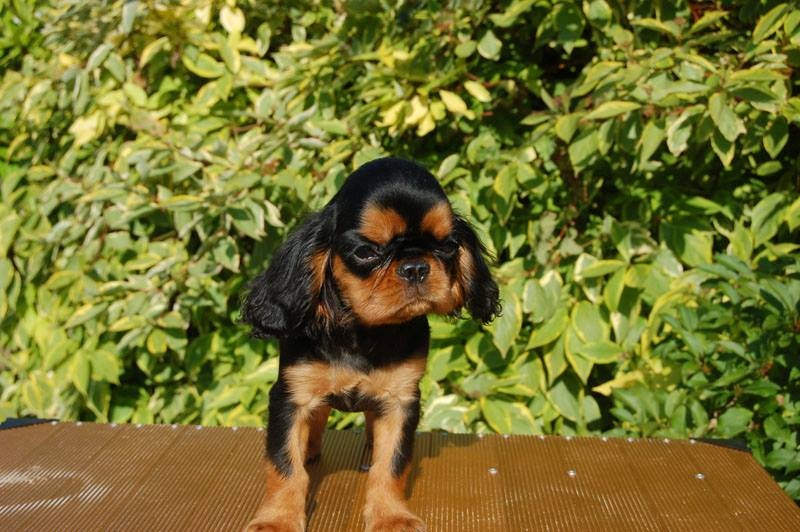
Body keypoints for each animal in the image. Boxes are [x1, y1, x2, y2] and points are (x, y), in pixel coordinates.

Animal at [241, 157, 500, 531]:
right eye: (365, 252)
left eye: (449, 245)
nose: (416, 267)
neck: (364, 331)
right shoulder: (291, 397)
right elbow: (285, 465)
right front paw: (277, 520)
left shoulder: (400, 402)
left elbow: (390, 464)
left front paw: (391, 516)